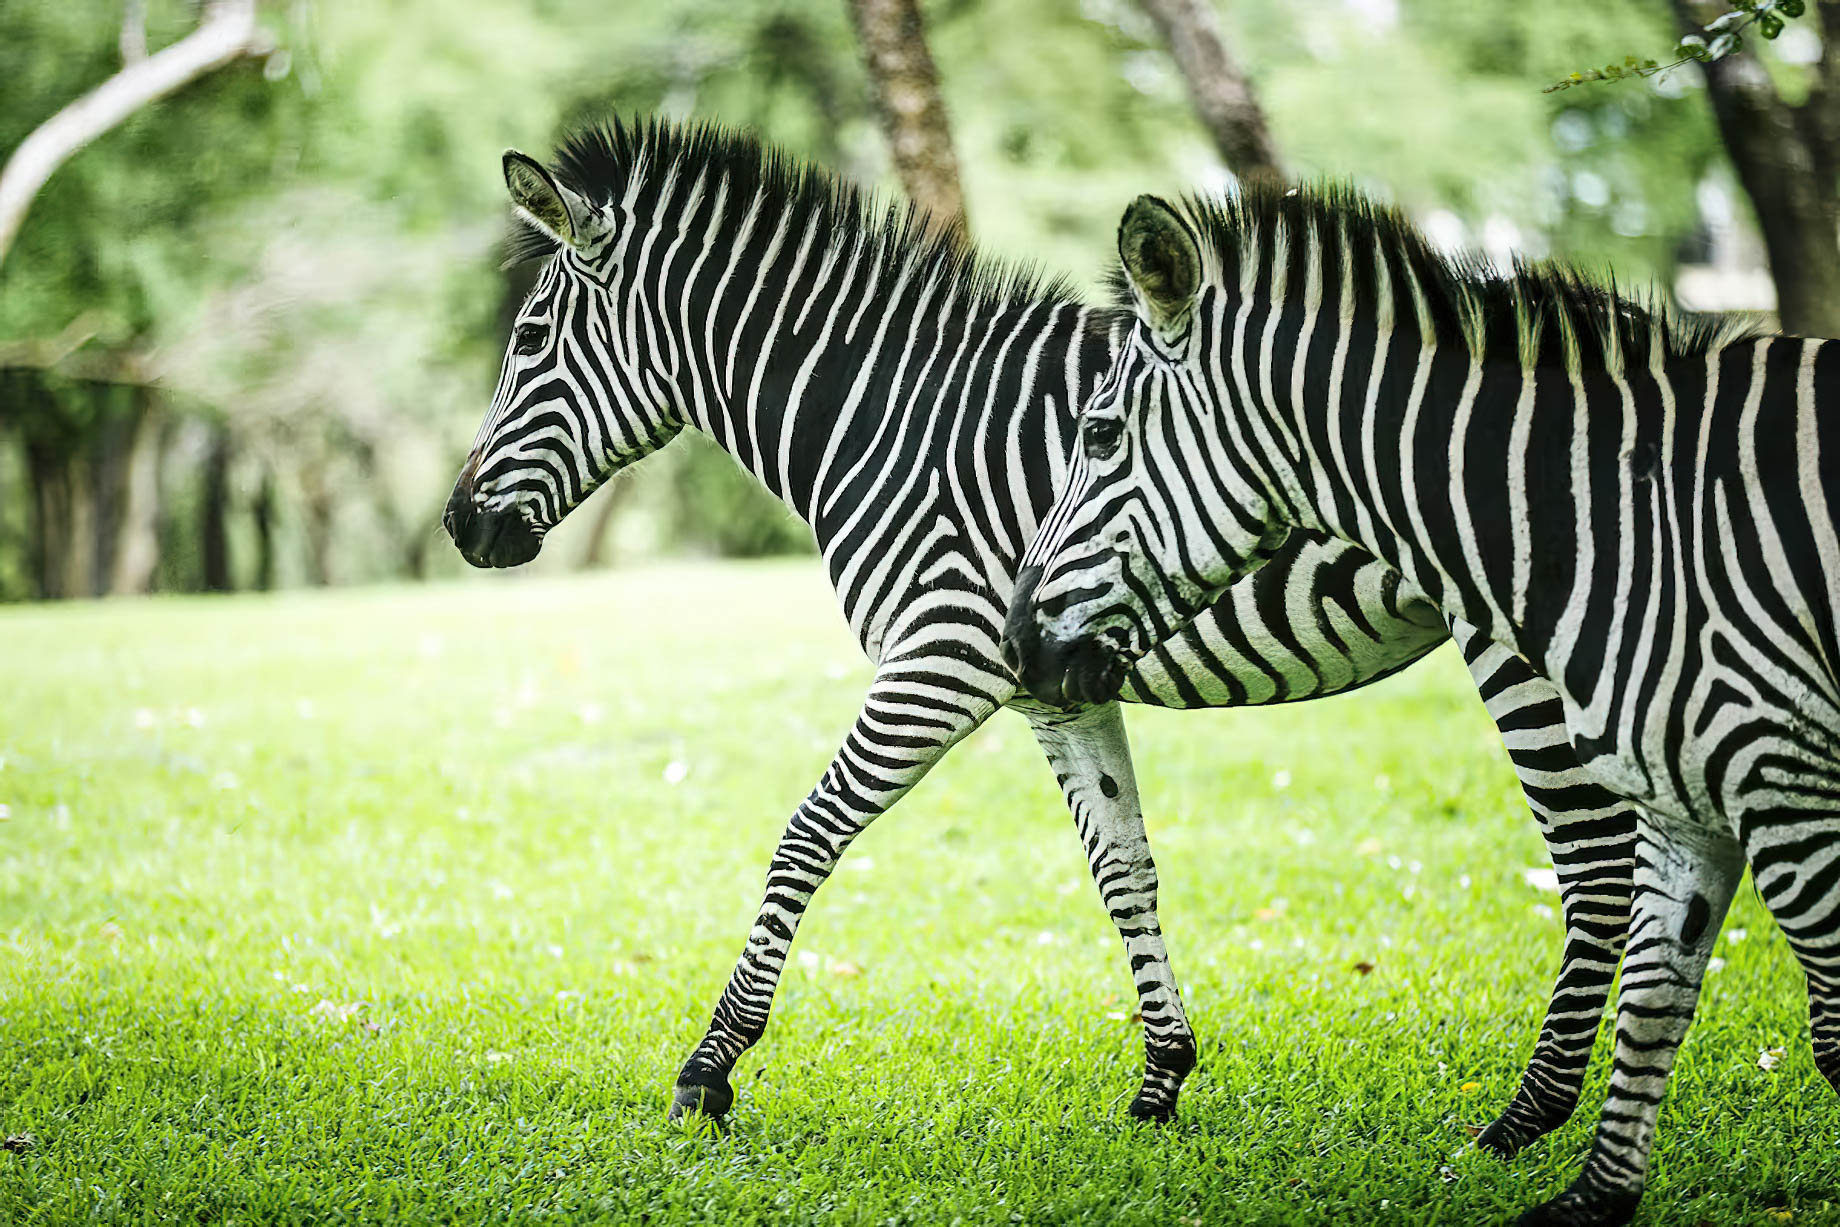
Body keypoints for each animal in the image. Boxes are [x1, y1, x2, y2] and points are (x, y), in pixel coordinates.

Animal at [441, 118, 1637, 1150]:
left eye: (530, 338)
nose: (456, 526)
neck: (887, 421)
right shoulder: (1051, 683)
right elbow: (1124, 869)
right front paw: (1161, 1079)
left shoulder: (942, 658)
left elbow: (805, 837)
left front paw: (710, 1069)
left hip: (1535, 645)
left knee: (1594, 864)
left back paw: (1527, 1117)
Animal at [1001, 184, 1838, 1226]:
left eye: (1099, 434)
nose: (1014, 641)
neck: (1622, 512)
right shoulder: (1693, 799)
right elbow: (1655, 1000)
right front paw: (1592, 1198)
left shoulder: (1790, 789)